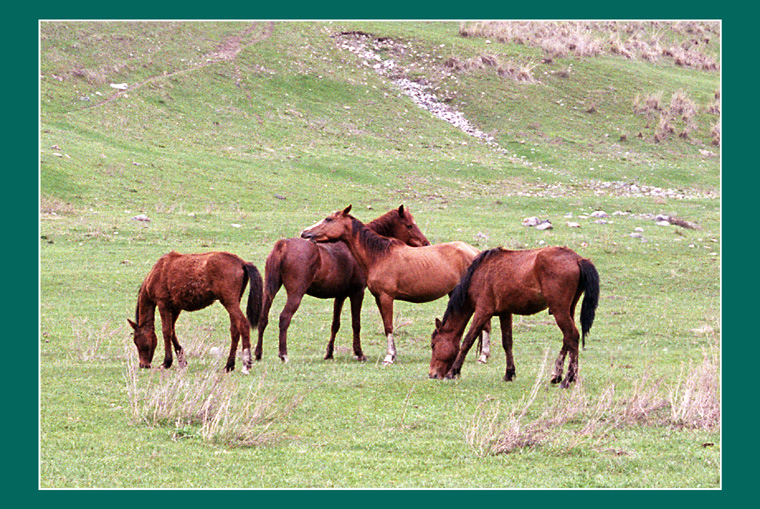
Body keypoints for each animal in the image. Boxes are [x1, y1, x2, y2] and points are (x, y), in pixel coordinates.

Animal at [128, 250, 264, 374]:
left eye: (137, 341)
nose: (143, 365)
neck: (158, 272)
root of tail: (242, 262)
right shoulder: (175, 307)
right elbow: (172, 331)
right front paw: (182, 361)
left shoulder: (163, 304)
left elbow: (166, 331)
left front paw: (167, 362)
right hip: (234, 302)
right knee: (235, 330)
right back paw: (229, 365)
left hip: (230, 302)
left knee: (244, 325)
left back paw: (246, 364)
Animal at [256, 205, 430, 362]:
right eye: (409, 225)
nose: (426, 243)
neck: (363, 250)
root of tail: (283, 245)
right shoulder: (357, 292)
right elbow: (356, 323)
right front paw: (359, 353)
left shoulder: (339, 295)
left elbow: (335, 324)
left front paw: (329, 353)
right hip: (295, 294)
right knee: (284, 318)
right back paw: (283, 354)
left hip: (270, 291)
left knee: (263, 319)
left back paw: (258, 354)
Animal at [300, 203, 490, 366]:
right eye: (409, 225)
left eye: (328, 219)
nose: (305, 233)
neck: (379, 255)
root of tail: (476, 252)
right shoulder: (378, 298)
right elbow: (385, 325)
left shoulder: (385, 297)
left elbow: (388, 326)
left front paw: (389, 357)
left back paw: (483, 356)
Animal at [428, 246, 600, 388]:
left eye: (434, 345)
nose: (432, 375)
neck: (479, 274)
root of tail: (577, 259)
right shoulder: (505, 313)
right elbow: (507, 343)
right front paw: (509, 373)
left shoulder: (483, 312)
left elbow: (467, 341)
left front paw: (453, 372)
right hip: (568, 309)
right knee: (568, 339)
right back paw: (558, 375)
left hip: (559, 311)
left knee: (572, 336)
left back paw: (567, 379)